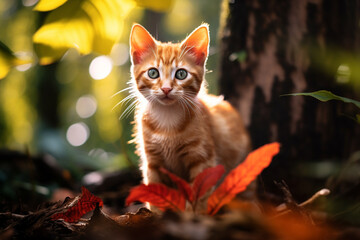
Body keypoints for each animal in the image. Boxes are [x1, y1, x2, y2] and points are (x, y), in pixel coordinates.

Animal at [129, 23, 250, 211]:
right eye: (153, 73)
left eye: (181, 74)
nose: (166, 89)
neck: (167, 120)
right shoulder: (152, 161)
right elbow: (156, 191)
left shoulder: (203, 159)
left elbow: (199, 195)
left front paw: (196, 215)